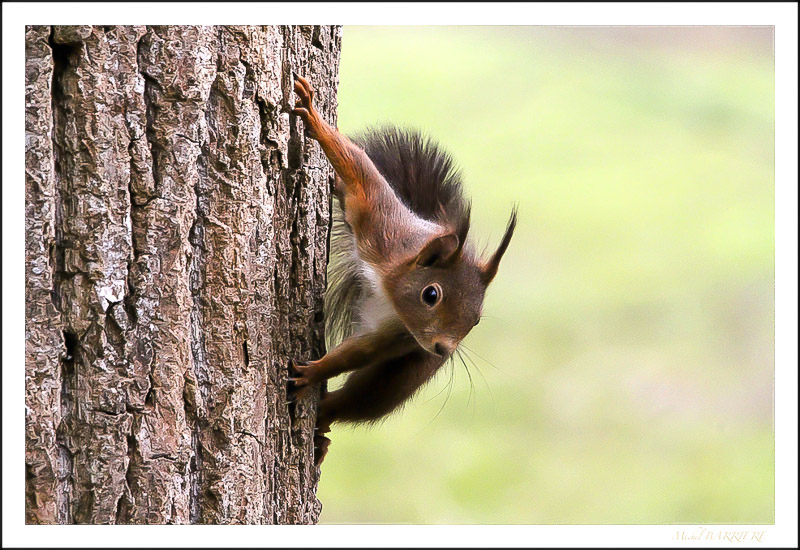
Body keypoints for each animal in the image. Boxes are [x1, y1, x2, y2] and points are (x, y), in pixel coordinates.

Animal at [290, 75, 516, 468]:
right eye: (431, 294)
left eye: (475, 321)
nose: (442, 350)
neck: (390, 283)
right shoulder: (383, 228)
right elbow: (360, 172)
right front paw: (316, 120)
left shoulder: (399, 335)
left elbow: (360, 352)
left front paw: (313, 372)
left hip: (402, 375)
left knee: (356, 402)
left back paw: (324, 424)